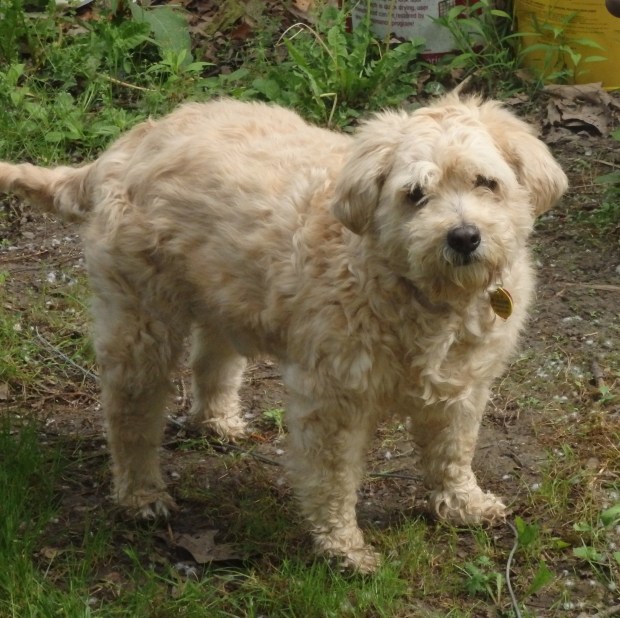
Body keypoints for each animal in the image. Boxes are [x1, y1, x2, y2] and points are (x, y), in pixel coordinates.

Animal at [0, 94, 567, 571]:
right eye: (415, 195)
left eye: (485, 182)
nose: (464, 237)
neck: (423, 293)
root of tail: (118, 153)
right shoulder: (333, 400)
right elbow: (333, 479)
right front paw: (343, 548)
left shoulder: (462, 389)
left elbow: (453, 452)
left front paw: (462, 505)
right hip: (142, 323)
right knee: (129, 413)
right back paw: (141, 494)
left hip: (224, 295)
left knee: (212, 361)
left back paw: (218, 421)